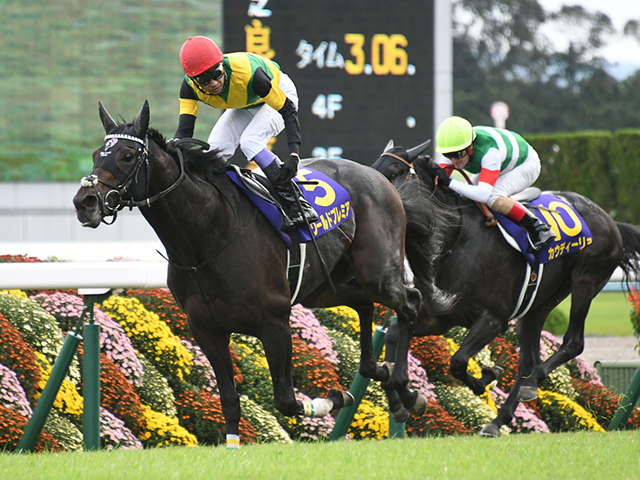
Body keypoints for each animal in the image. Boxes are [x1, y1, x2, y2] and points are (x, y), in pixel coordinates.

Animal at [72, 102, 428, 446]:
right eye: (96, 154)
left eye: (127, 156)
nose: (84, 201)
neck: (210, 235)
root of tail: (376, 174)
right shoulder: (207, 329)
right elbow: (230, 400)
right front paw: (232, 446)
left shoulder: (274, 323)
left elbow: (286, 401)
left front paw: (335, 397)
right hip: (323, 288)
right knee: (364, 304)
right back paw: (384, 379)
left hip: (376, 272)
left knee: (410, 302)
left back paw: (406, 390)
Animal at [372, 142, 640, 436]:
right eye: (372, 168)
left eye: (394, 172)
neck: (457, 239)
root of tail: (610, 221)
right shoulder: (440, 318)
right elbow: (397, 336)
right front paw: (404, 400)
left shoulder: (493, 320)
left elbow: (457, 361)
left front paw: (486, 377)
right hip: (541, 301)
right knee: (528, 359)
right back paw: (499, 418)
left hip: (585, 282)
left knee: (572, 343)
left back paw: (531, 384)